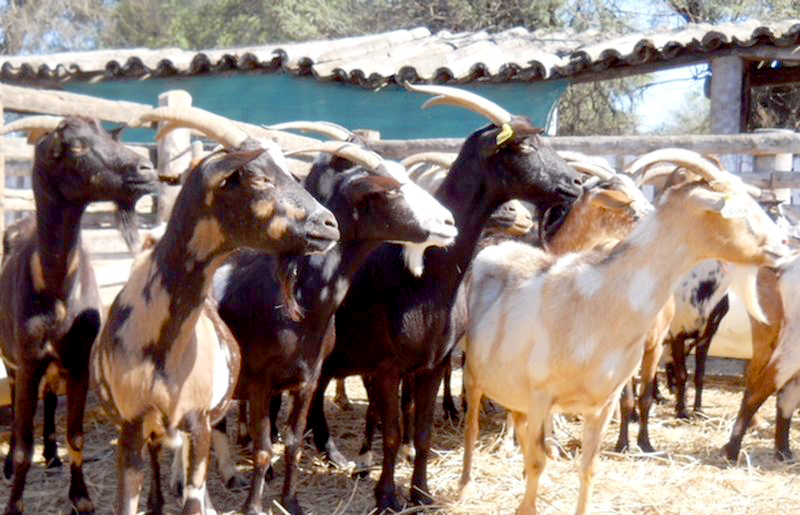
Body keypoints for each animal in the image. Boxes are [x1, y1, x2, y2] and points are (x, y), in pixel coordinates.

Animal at [0, 116, 159, 515]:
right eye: (75, 147)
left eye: (109, 135)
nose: (146, 170)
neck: (57, 291)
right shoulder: (29, 361)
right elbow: (23, 444)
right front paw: (15, 503)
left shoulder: (79, 361)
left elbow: (76, 435)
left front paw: (81, 497)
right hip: (11, 358)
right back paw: (10, 464)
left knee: (50, 398)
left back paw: (53, 454)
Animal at [89, 106, 341, 515]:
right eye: (258, 177)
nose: (330, 224)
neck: (165, 345)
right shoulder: (131, 423)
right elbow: (127, 501)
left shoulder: (198, 421)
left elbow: (194, 497)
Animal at [212, 141, 456, 515]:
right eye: (389, 190)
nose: (449, 222)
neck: (296, 301)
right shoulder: (260, 380)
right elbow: (264, 447)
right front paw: (253, 507)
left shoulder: (308, 377)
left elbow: (293, 442)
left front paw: (291, 503)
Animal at [303, 83, 584, 512]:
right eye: (522, 145)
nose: (576, 183)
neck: (423, 278)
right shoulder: (387, 368)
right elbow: (391, 433)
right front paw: (387, 496)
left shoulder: (432, 365)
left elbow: (421, 434)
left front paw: (422, 491)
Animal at [460, 149, 790, 515]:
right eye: (737, 209)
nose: (783, 243)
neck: (598, 302)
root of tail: (495, 248)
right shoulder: (541, 394)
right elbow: (537, 460)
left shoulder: (602, 403)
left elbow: (588, 467)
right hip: (474, 374)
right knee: (472, 426)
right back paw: (465, 487)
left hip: (513, 386)